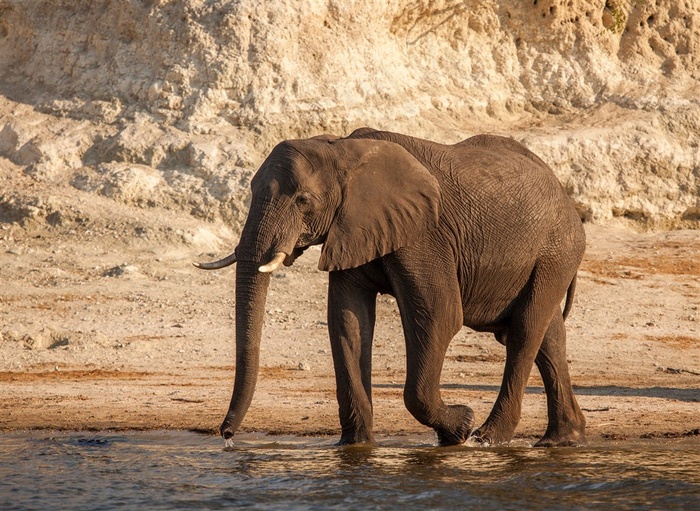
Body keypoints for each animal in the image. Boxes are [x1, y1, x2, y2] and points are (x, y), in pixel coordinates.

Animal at [194, 128, 588, 448]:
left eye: (302, 200)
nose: (226, 434)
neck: (343, 149)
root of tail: (564, 193)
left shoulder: (425, 236)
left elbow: (439, 316)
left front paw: (460, 426)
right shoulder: (352, 228)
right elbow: (348, 322)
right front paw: (354, 447)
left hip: (556, 249)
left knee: (525, 331)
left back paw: (487, 438)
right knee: (549, 336)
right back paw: (561, 440)